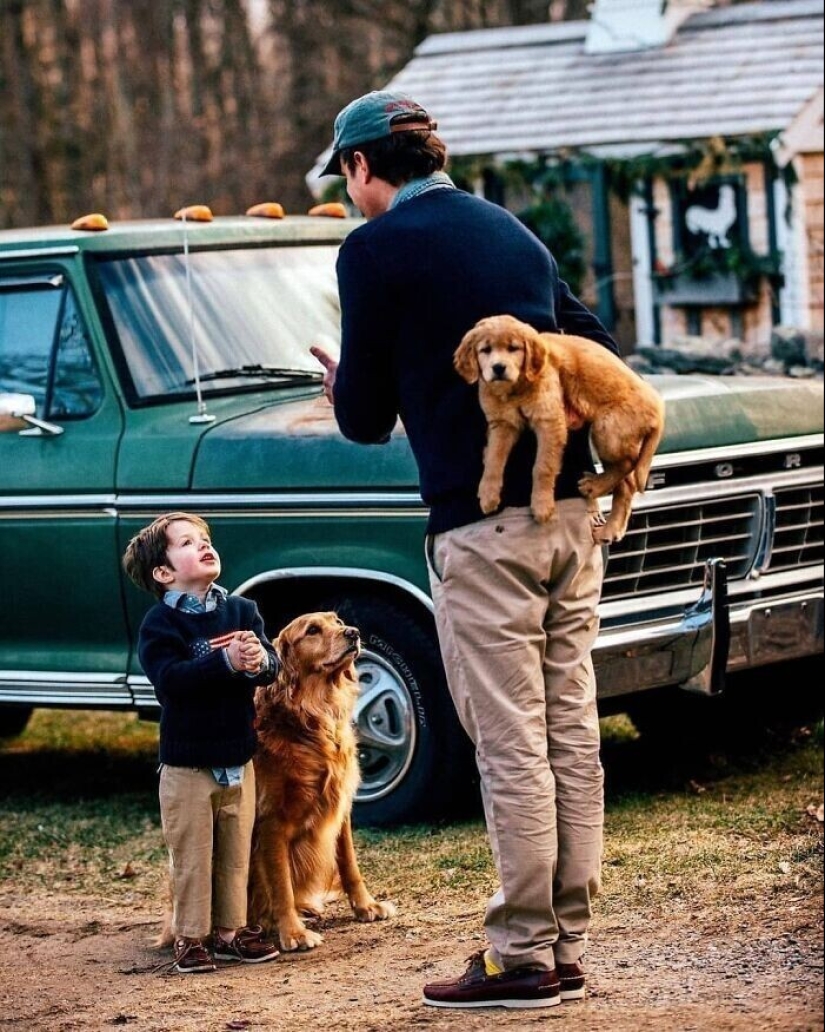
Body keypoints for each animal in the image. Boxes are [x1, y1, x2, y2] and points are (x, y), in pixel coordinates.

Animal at [246, 606, 394, 953]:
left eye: (337, 622)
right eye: (312, 630)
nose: (353, 632)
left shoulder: (339, 805)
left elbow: (349, 863)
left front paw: (366, 905)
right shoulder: (271, 819)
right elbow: (281, 882)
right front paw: (294, 933)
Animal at [452, 313, 664, 544]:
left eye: (513, 348)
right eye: (485, 350)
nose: (498, 368)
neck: (515, 389)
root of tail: (658, 408)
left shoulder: (550, 421)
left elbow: (542, 467)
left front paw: (542, 506)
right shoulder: (503, 425)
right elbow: (494, 459)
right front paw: (488, 494)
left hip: (607, 430)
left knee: (627, 464)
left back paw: (594, 486)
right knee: (627, 483)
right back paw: (611, 528)